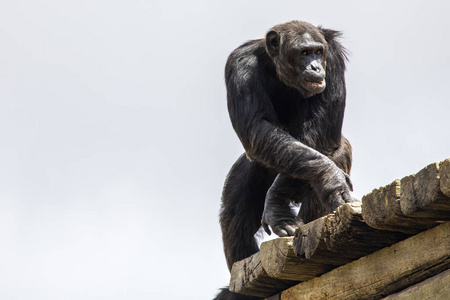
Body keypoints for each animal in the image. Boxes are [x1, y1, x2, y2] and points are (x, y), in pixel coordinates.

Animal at [216, 21, 354, 300]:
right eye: (304, 53)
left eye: (317, 51)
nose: (316, 66)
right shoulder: (239, 66)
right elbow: (257, 127)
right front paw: (329, 178)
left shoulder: (333, 58)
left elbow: (319, 131)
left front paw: (277, 203)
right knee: (237, 204)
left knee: (334, 153)